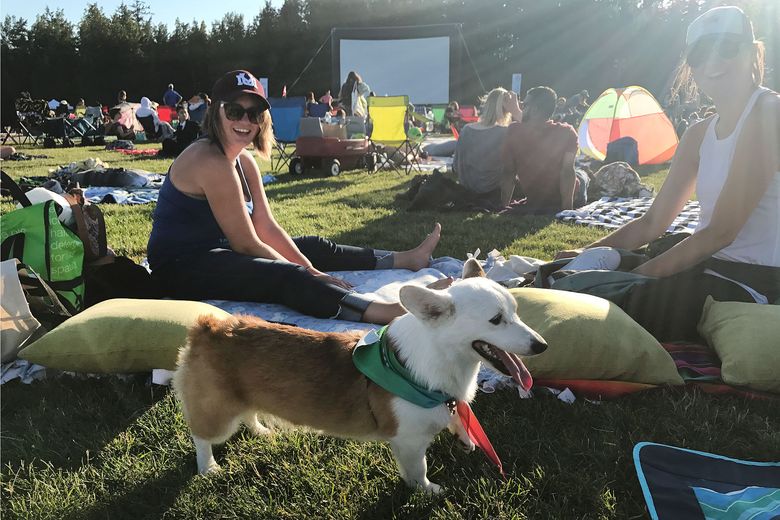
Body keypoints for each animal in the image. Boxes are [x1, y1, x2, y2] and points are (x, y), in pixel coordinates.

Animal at [174, 258, 544, 494]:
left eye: (516, 311)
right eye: (496, 320)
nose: (541, 345)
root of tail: (207, 328)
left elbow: (459, 421)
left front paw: (466, 440)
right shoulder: (409, 441)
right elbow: (419, 471)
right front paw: (429, 491)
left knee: (249, 413)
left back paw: (262, 432)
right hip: (217, 412)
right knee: (202, 436)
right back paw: (208, 468)